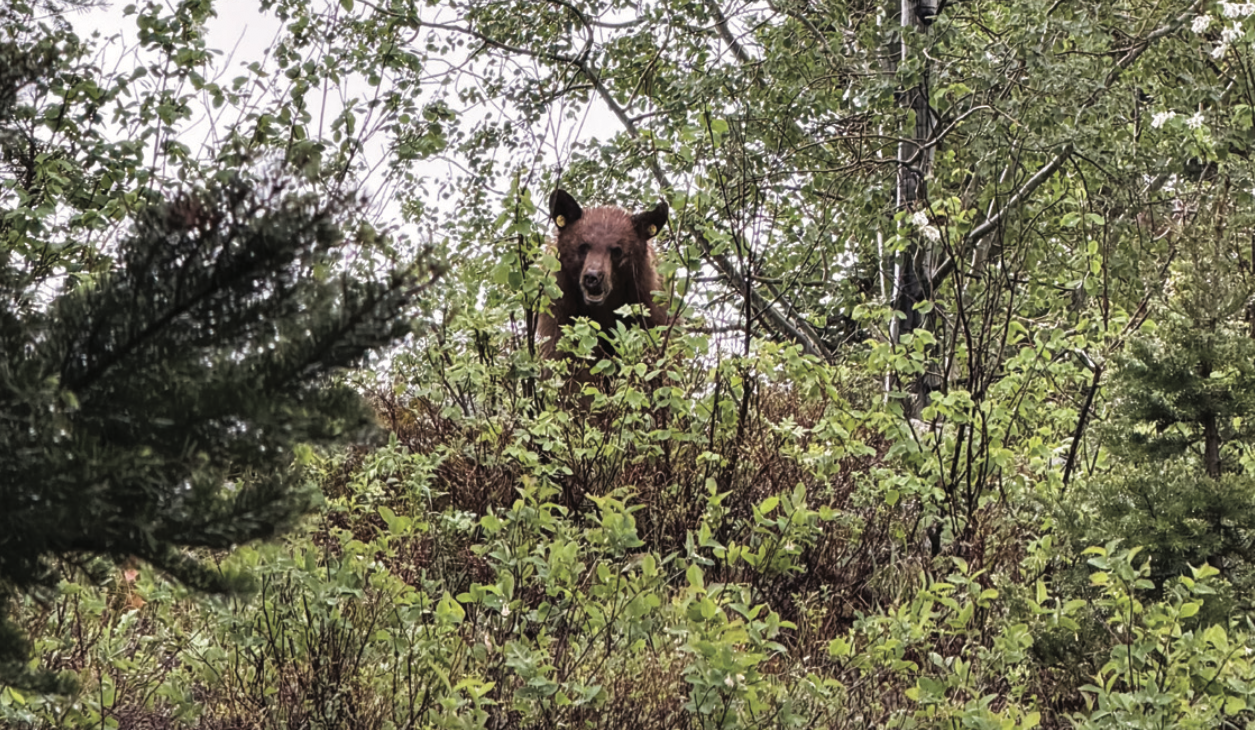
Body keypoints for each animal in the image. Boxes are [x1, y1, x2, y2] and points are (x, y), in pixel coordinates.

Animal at [536, 188, 670, 359]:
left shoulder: (651, 311)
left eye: (617, 251)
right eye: (583, 247)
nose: (593, 277)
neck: (604, 310)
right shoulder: (560, 313)